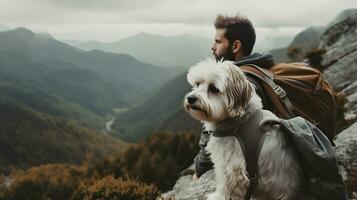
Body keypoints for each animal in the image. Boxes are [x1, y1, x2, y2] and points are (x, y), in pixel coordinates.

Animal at [184, 59, 312, 200]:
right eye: (197, 83)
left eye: (213, 88)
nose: (190, 98)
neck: (239, 122)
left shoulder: (232, 169)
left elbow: (226, 186)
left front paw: (218, 196)